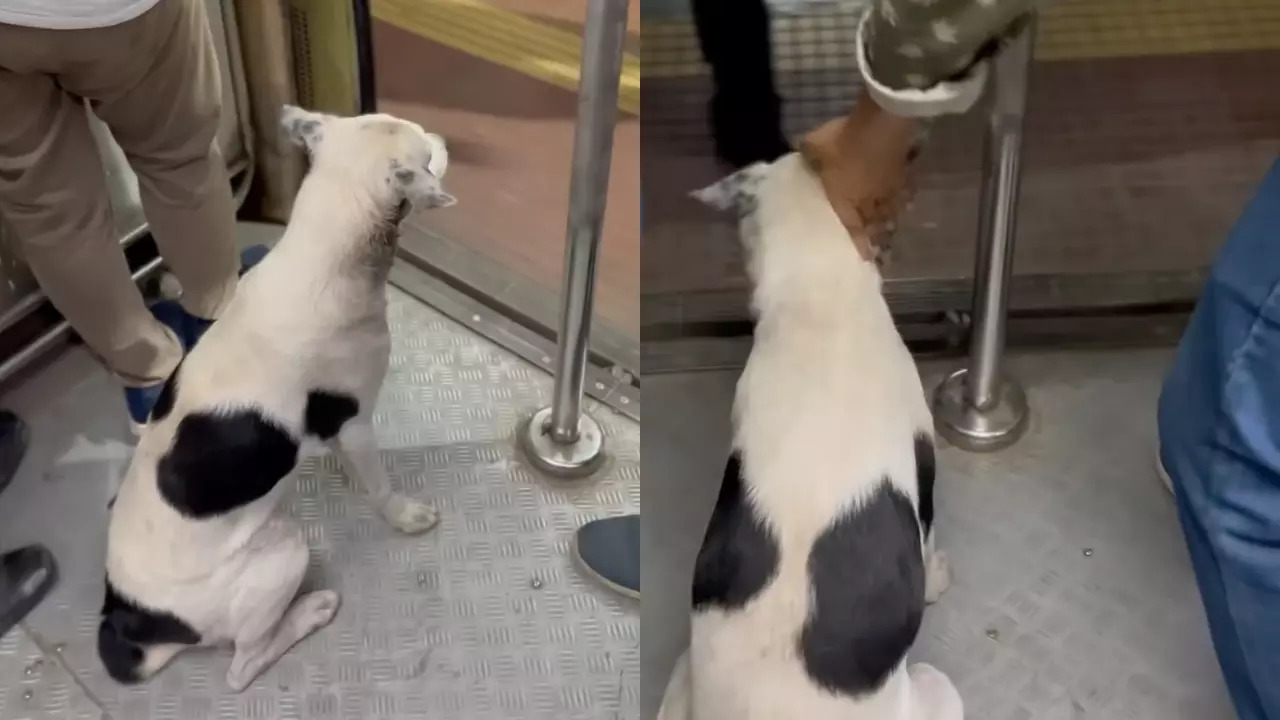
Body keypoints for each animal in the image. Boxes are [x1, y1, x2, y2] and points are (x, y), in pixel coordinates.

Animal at [97, 106, 455, 691]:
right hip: (283, 551)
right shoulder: (357, 419)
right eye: (427, 153)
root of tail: (132, 618)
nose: (443, 135)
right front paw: (402, 513)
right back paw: (309, 611)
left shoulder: (339, 427)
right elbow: (379, 485)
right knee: (244, 664)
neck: (322, 257)